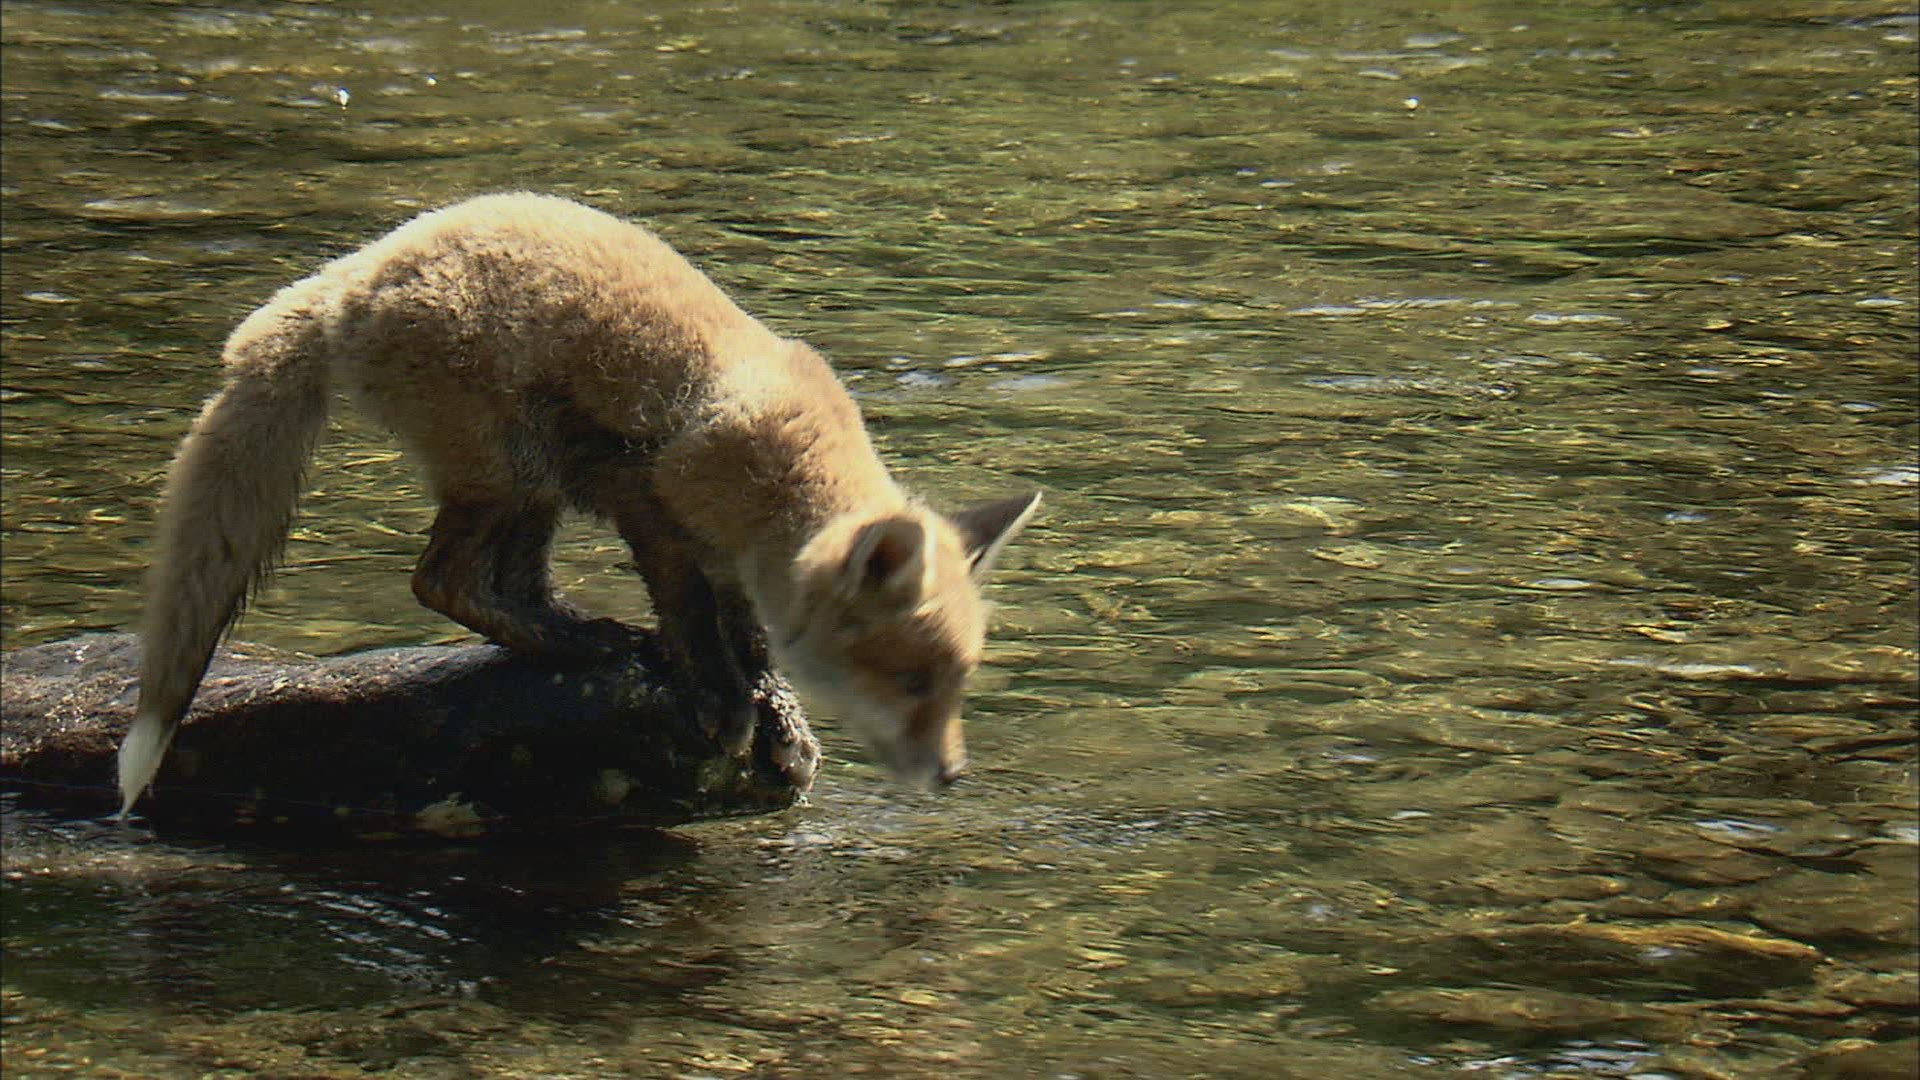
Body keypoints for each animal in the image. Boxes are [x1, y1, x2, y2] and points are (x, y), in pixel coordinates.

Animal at [117, 192, 1040, 814]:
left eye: (960, 683)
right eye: (912, 680)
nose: (952, 774)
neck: (777, 463)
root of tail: (348, 277)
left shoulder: (730, 562)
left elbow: (752, 641)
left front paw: (778, 717)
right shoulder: (647, 500)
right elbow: (695, 624)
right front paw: (725, 705)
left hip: (537, 492)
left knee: (488, 585)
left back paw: (576, 636)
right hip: (512, 468)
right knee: (441, 581)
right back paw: (584, 641)